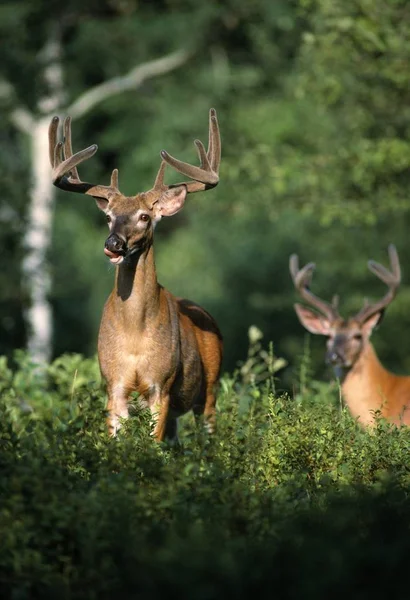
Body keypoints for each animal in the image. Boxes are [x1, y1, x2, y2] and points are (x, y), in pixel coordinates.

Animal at [49, 109, 223, 440]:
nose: (113, 244)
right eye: (108, 217)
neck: (134, 334)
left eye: (144, 216)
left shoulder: (161, 386)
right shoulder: (113, 385)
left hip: (210, 389)